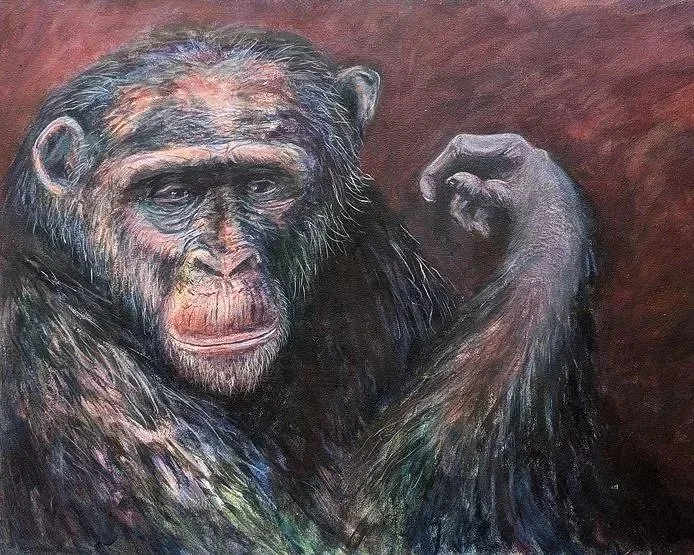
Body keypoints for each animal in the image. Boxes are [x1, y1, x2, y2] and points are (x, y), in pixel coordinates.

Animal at [0, 26, 606, 552]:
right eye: (171, 193)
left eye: (261, 185)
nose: (226, 262)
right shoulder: (56, 354)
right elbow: (349, 535)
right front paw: (544, 209)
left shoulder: (374, 245)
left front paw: (524, 185)